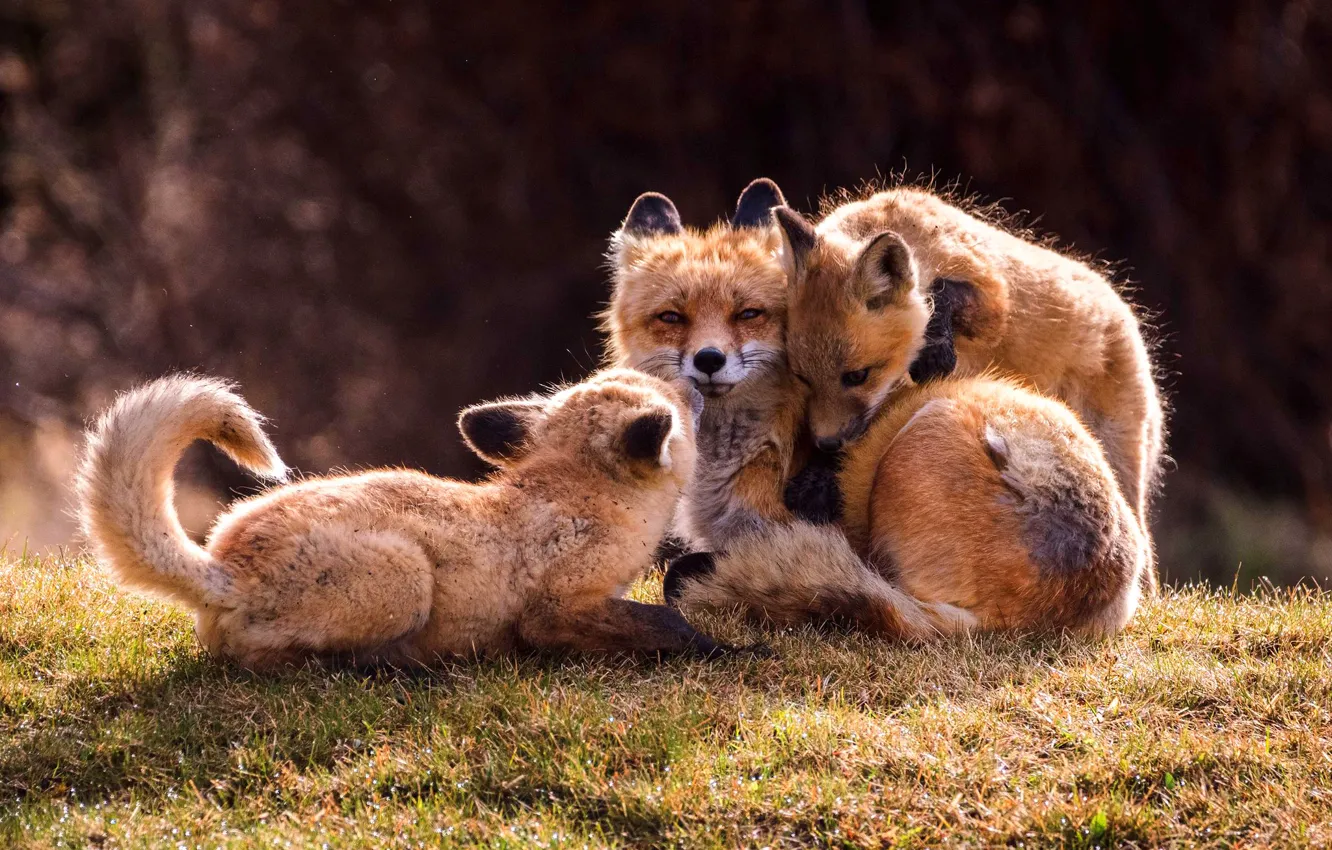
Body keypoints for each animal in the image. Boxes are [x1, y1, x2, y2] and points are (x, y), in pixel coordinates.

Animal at [75, 370, 733, 671]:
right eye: (675, 404)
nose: (699, 374)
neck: (581, 499)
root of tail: (223, 569)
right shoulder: (556, 610)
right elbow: (665, 622)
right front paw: (727, 651)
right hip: (406, 578)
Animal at [770, 188, 1164, 590]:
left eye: (857, 376)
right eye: (802, 377)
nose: (826, 443)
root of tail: (1122, 306)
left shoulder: (994, 299)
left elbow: (949, 293)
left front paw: (935, 343)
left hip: (1120, 455)